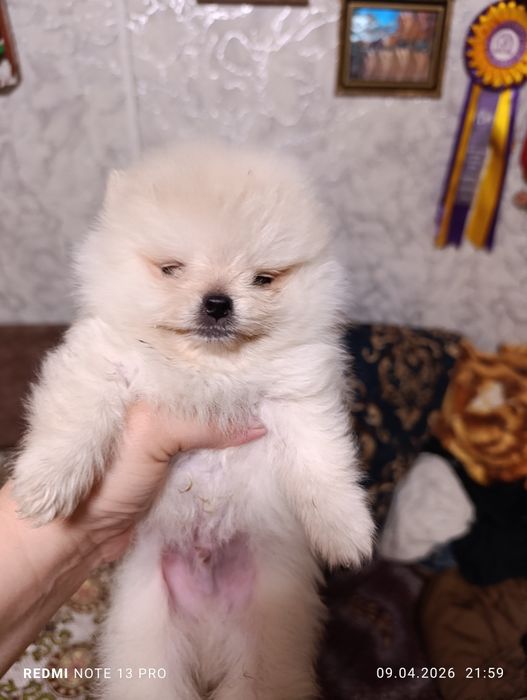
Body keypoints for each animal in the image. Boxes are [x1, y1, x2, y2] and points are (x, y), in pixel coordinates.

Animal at [12, 142, 374, 699]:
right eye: (172, 269)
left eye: (263, 278)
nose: (218, 302)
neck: (209, 366)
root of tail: (210, 633)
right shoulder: (100, 360)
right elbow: (76, 417)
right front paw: (46, 485)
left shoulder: (300, 392)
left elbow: (320, 463)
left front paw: (345, 532)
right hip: (148, 632)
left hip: (267, 633)